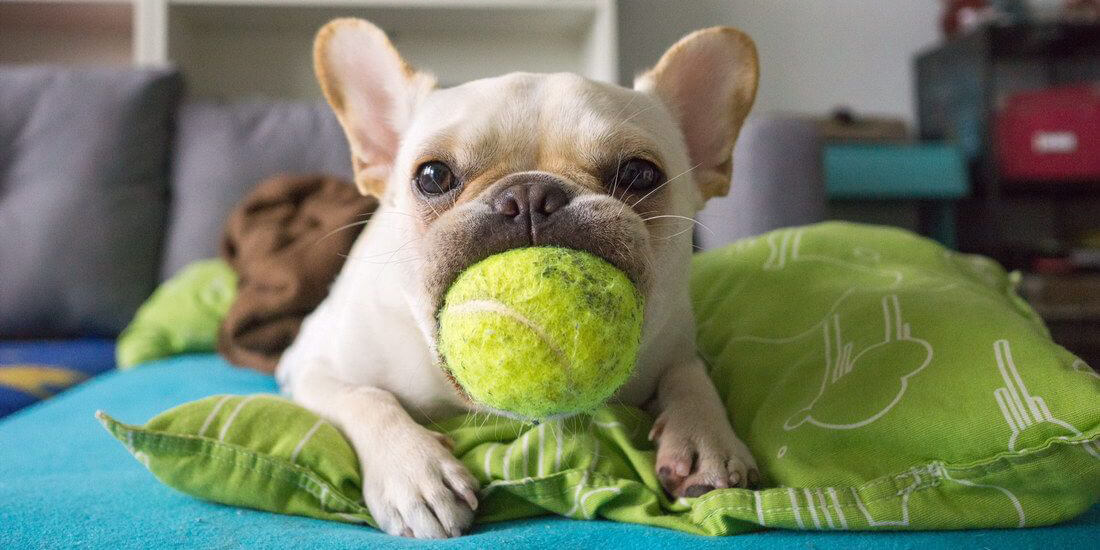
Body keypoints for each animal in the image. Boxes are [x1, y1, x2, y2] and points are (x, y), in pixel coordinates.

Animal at [277, 19, 756, 539]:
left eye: (639, 173)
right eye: (432, 176)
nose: (530, 193)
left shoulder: (677, 343)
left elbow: (691, 376)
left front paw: (706, 440)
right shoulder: (310, 366)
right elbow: (364, 398)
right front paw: (414, 472)